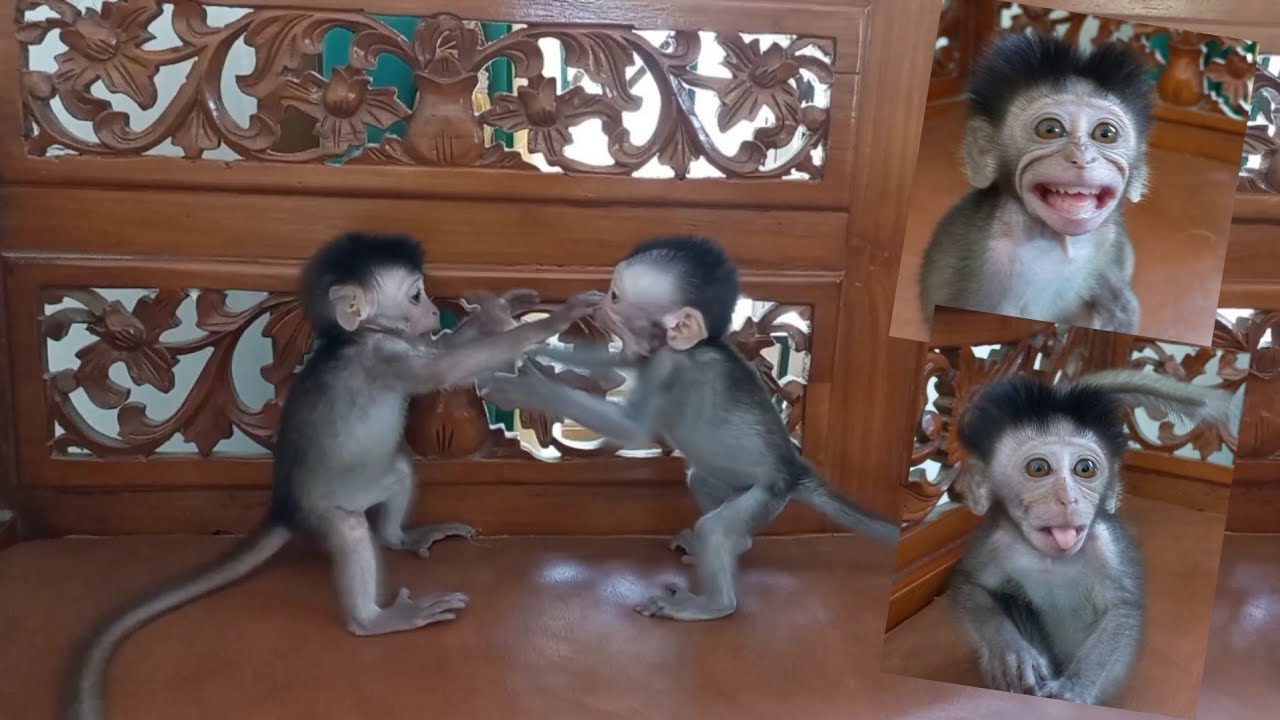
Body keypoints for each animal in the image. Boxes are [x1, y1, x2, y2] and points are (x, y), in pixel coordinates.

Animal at [62, 232, 601, 720]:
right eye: (416, 296)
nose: (431, 313)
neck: (359, 336)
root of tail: (283, 505)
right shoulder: (384, 356)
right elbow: (444, 369)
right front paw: (551, 319)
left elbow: (446, 356)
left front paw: (498, 311)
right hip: (325, 510)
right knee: (350, 531)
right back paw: (374, 619)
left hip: (368, 482)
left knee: (397, 473)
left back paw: (401, 537)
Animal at [476, 236, 900, 622]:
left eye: (616, 297)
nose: (598, 304)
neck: (684, 347)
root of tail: (795, 470)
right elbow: (604, 364)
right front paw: (525, 337)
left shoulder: (668, 366)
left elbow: (632, 431)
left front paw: (530, 387)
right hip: (738, 485)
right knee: (704, 484)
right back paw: (731, 545)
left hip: (766, 496)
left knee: (717, 530)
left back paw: (712, 603)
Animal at [918, 33, 1154, 334]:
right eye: (1050, 129)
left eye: (1106, 133)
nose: (1082, 156)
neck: (1057, 241)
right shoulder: (990, 261)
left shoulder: (1110, 238)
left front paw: (1117, 304)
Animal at [945, 368, 1233, 706]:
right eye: (1038, 467)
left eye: (1084, 468)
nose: (1068, 499)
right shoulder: (997, 541)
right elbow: (969, 586)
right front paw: (1011, 652)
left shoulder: (1107, 546)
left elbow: (1122, 609)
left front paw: (1072, 689)